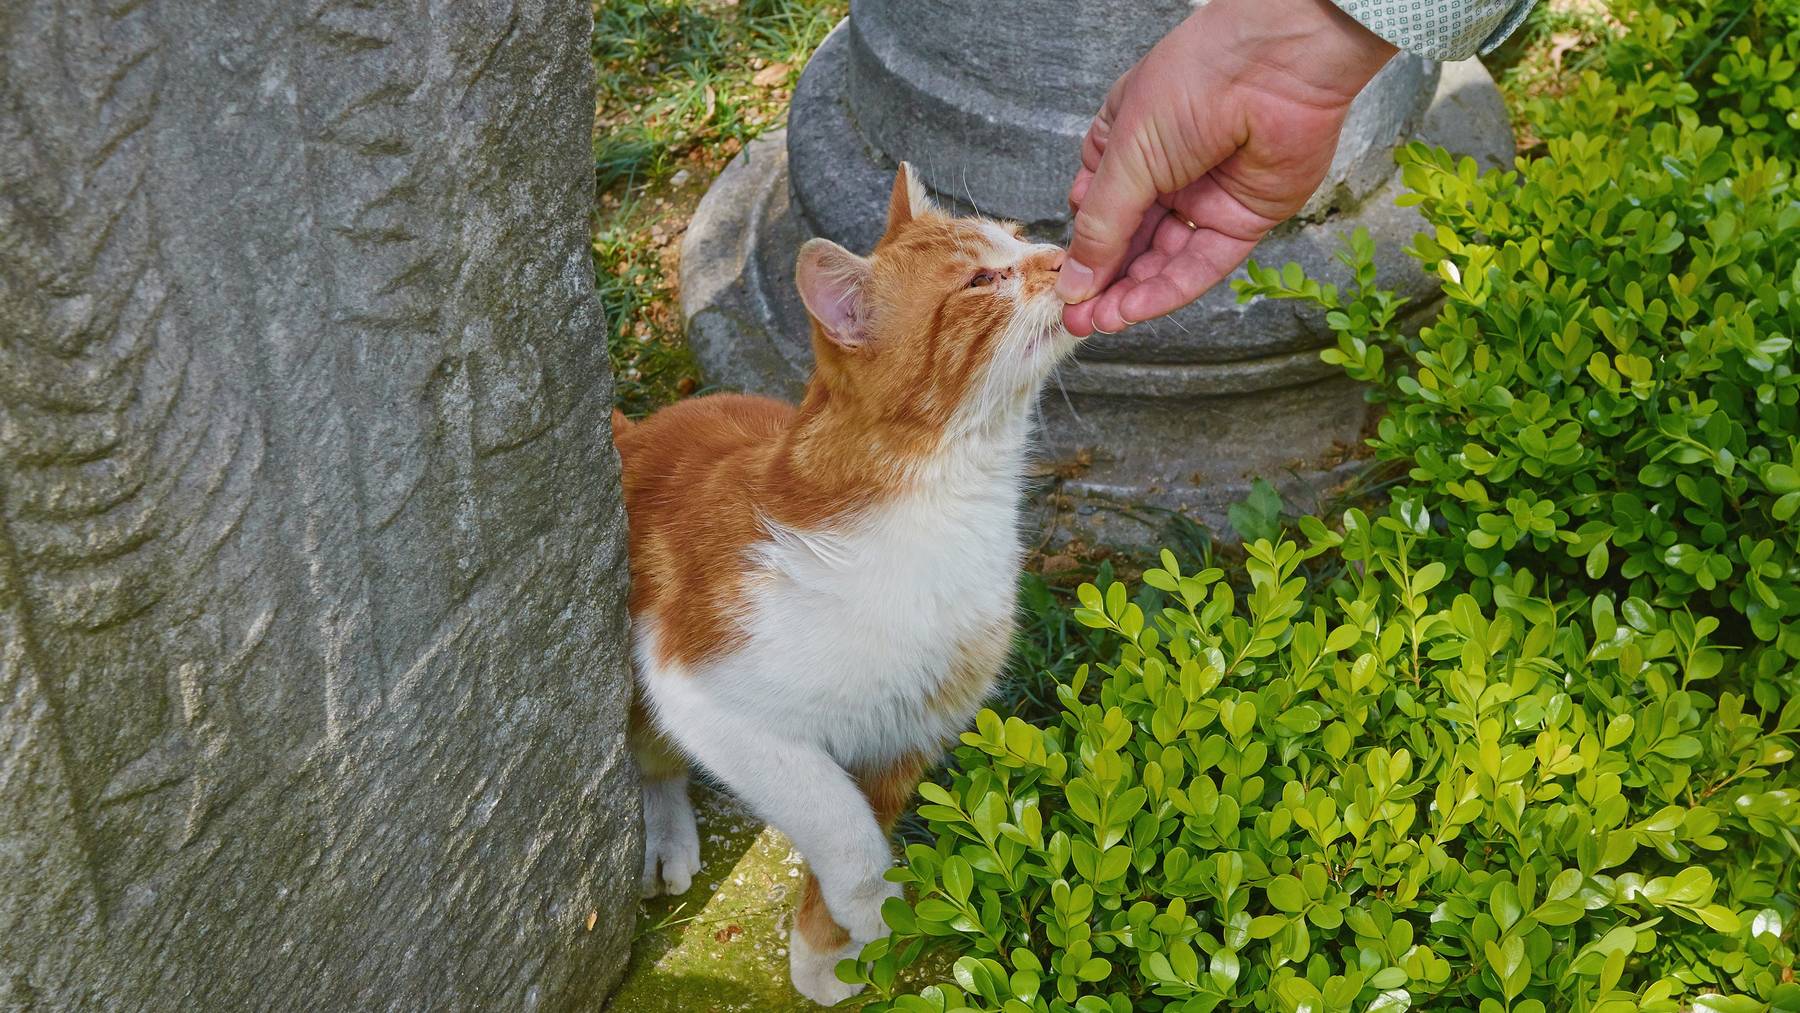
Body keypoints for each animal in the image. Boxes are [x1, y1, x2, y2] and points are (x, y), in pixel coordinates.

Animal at [612, 166, 1072, 1007]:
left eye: (1020, 238)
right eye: (980, 279)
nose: (1061, 255)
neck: (948, 502)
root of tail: (634, 430)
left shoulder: (905, 734)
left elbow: (860, 827)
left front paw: (826, 953)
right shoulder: (704, 692)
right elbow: (842, 828)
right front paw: (872, 907)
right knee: (650, 751)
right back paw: (662, 832)